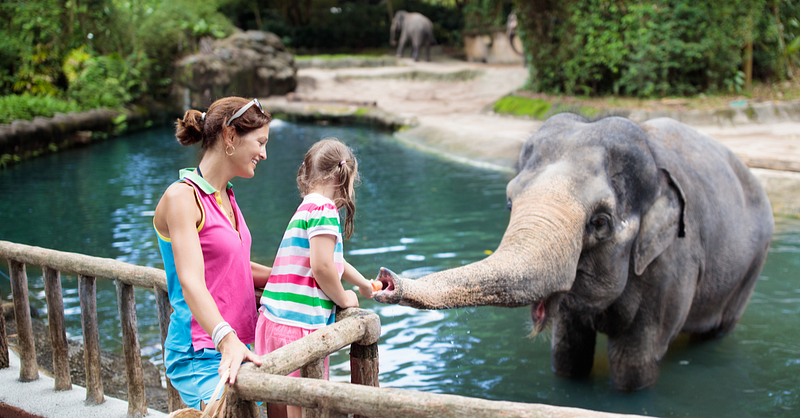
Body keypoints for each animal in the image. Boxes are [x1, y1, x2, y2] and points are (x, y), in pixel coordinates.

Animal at [376, 114, 776, 392]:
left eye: (600, 222)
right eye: (509, 203)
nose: (385, 280)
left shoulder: (672, 264)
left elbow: (634, 363)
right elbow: (567, 354)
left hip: (753, 264)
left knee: (719, 329)